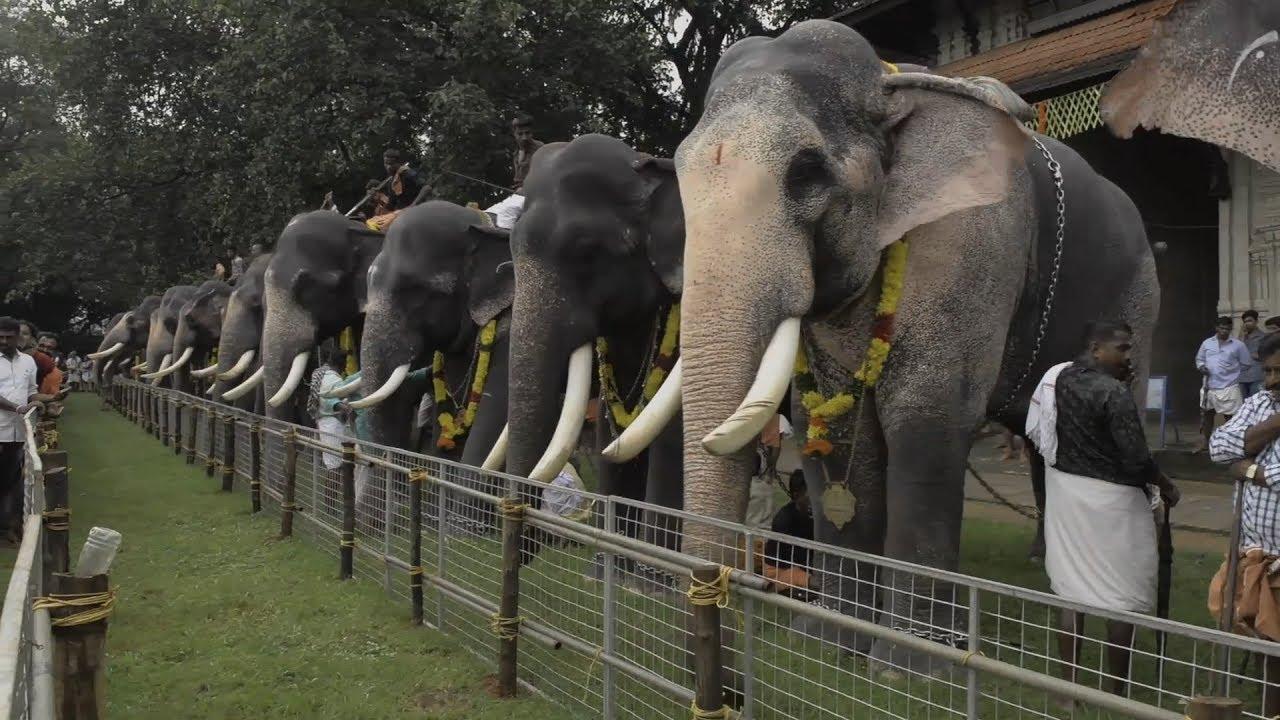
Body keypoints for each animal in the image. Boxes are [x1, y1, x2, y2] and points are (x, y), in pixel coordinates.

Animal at [504, 134, 685, 568]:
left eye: (587, 252)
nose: (531, 539)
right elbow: (610, 423)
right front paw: (610, 567)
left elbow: (672, 431)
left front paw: (653, 577)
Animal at [668, 20, 1158, 672]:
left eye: (806, 171)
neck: (887, 82)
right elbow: (833, 425)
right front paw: (827, 645)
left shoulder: (975, 236)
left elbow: (924, 415)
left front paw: (911, 669)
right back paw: (1040, 563)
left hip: (1139, 295)